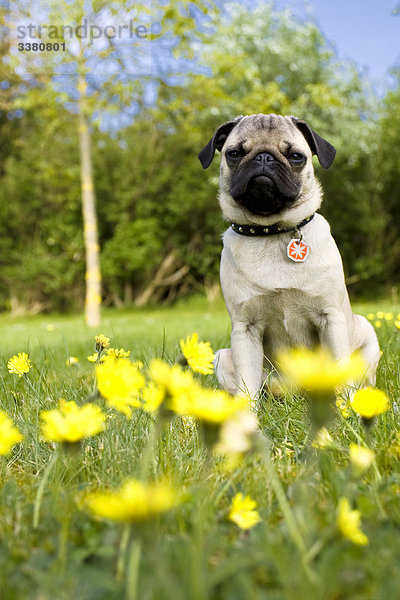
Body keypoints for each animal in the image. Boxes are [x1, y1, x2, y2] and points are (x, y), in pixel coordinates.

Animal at [198, 112, 380, 398]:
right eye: (234, 154)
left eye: (296, 156)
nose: (264, 157)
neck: (271, 232)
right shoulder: (245, 327)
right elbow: (246, 386)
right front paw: (246, 411)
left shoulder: (330, 318)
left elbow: (341, 369)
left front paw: (345, 407)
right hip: (222, 356)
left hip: (367, 334)